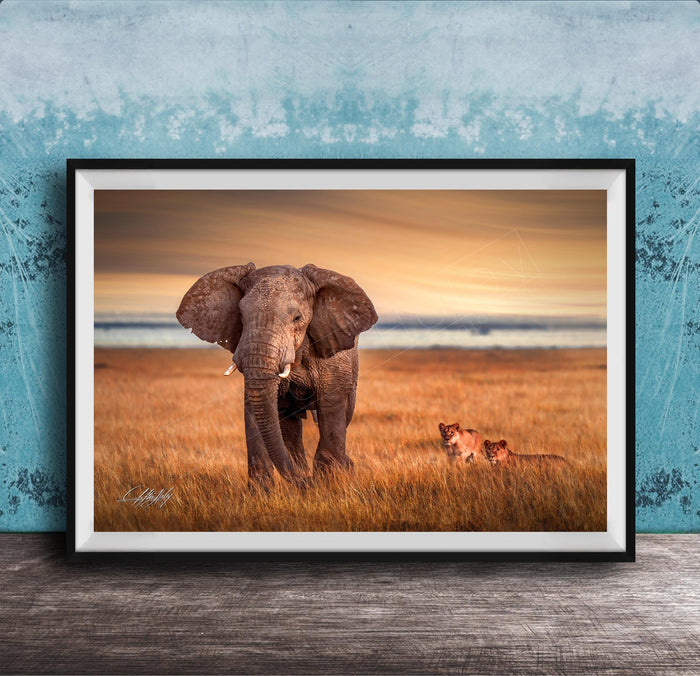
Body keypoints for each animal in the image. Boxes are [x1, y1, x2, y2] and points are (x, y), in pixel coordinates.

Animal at [176, 263, 377, 487]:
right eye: (241, 315)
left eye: (297, 318)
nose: (307, 483)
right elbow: (255, 408)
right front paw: (263, 491)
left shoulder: (333, 358)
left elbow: (330, 406)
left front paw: (330, 480)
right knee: (289, 425)